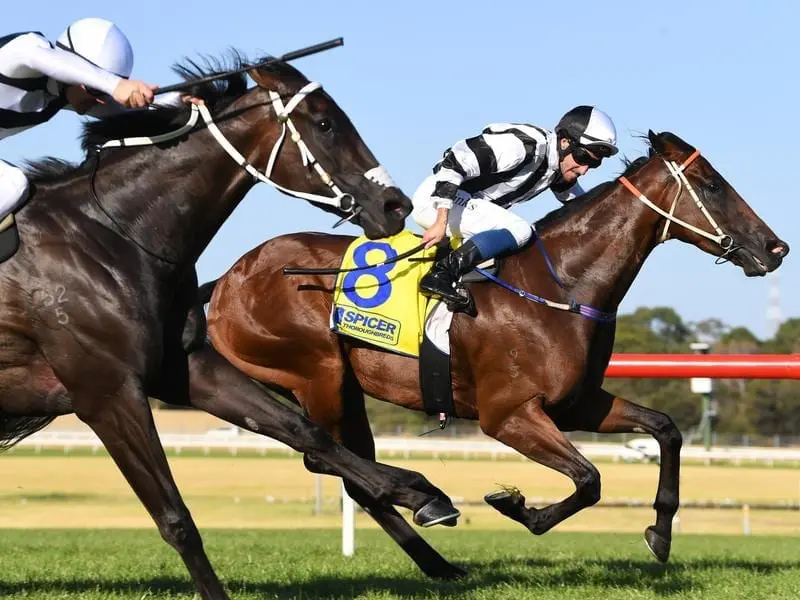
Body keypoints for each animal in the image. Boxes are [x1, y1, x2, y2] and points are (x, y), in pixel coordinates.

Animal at [0, 52, 462, 599]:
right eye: (325, 123)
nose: (396, 205)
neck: (112, 233)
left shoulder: (182, 369)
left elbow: (303, 432)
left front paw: (421, 492)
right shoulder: (106, 392)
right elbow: (175, 516)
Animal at [200, 130, 789, 574]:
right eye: (712, 185)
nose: (776, 248)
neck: (561, 285)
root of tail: (226, 280)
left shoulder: (578, 404)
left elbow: (666, 430)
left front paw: (660, 534)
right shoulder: (508, 415)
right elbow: (589, 480)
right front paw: (517, 507)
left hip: (338, 387)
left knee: (347, 467)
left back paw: (437, 560)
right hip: (317, 376)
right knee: (333, 460)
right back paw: (430, 513)